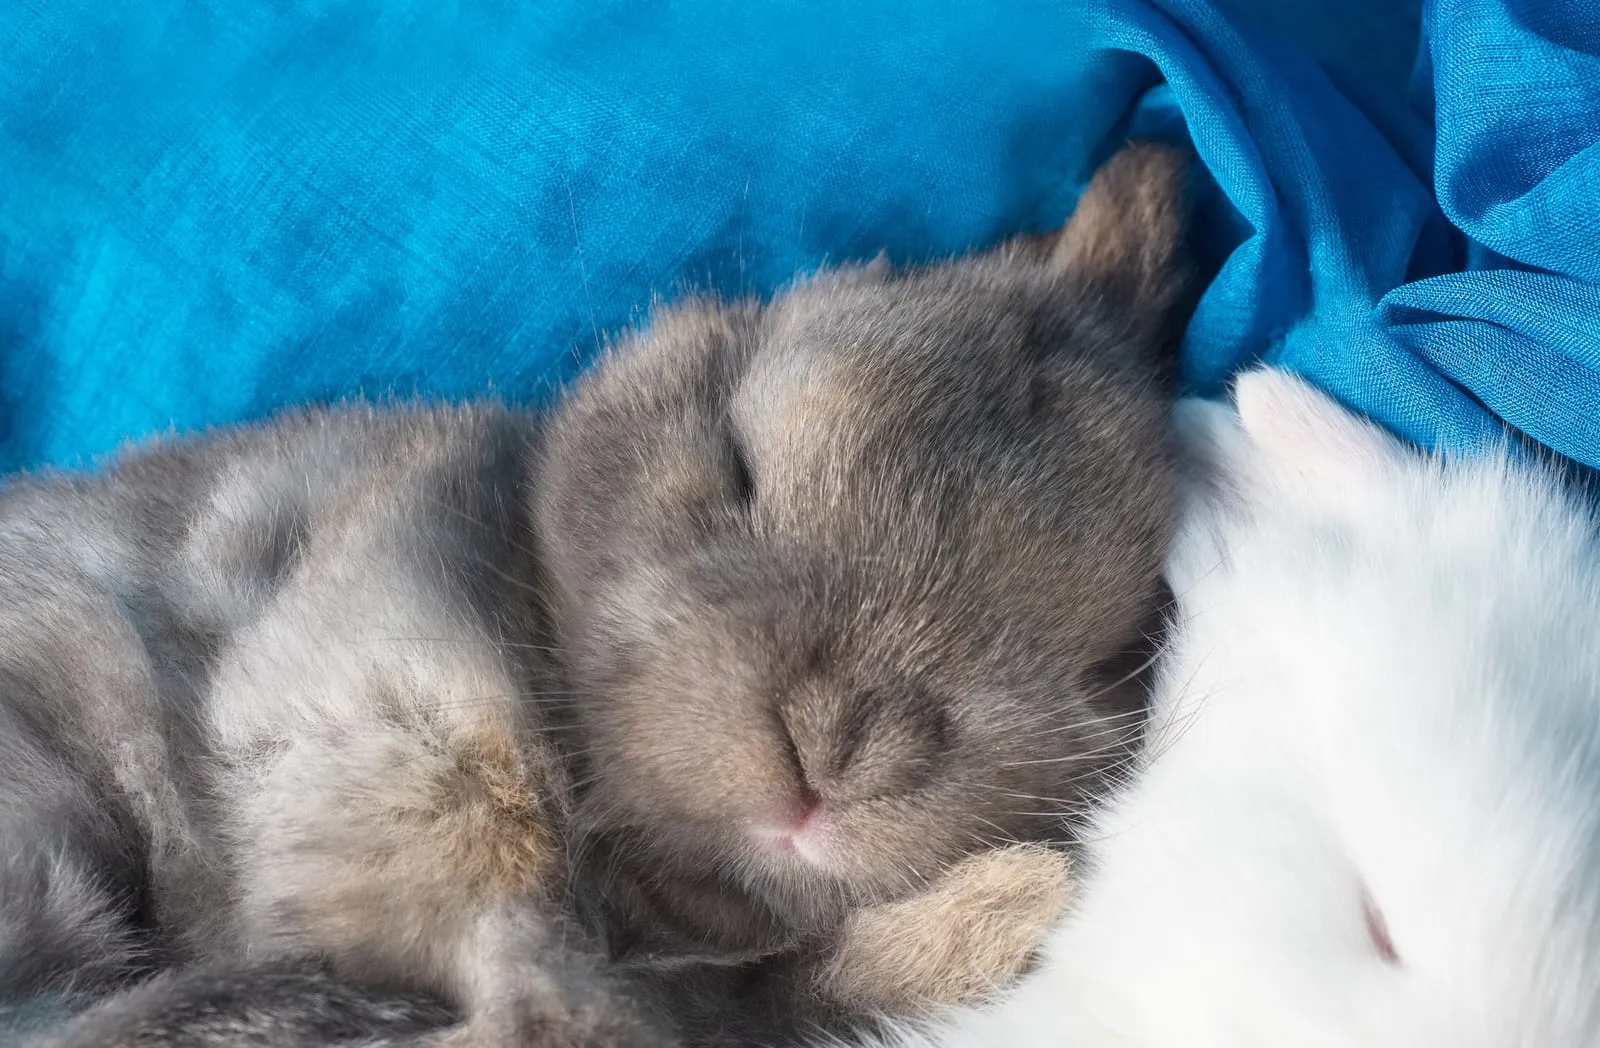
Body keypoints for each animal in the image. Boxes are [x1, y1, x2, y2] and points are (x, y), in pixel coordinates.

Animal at [2, 139, 1194, 1048]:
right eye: (733, 458)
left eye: (1106, 655)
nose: (836, 748)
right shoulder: (397, 729)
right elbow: (559, 981)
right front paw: (1007, 906)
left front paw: (1000, 907)